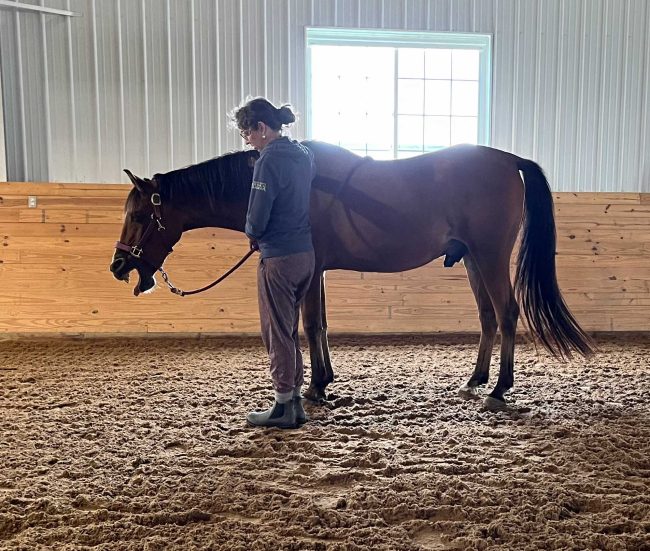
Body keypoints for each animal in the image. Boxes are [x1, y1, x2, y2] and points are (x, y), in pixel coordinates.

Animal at [110, 141, 595, 410]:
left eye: (139, 215)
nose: (118, 266)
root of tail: (510, 160)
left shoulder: (309, 267)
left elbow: (308, 324)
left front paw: (313, 388)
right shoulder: (319, 269)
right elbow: (321, 324)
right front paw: (324, 380)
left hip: (490, 256)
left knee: (508, 313)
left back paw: (499, 390)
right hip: (473, 259)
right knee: (488, 317)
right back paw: (475, 381)